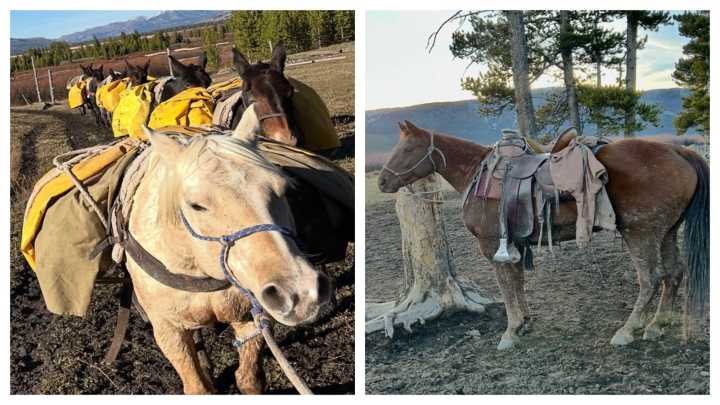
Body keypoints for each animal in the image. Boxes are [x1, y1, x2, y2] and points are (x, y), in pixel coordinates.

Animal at [126, 121, 333, 394]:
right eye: (196, 205)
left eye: (283, 189)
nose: (300, 294)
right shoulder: (168, 330)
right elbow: (197, 388)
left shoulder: (250, 316)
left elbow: (249, 379)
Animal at [377, 121, 709, 350]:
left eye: (407, 149)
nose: (381, 181)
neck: (477, 174)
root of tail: (679, 150)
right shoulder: (513, 245)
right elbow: (517, 283)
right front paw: (524, 323)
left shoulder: (491, 246)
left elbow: (507, 287)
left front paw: (510, 332)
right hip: (666, 231)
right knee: (674, 273)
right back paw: (657, 324)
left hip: (640, 233)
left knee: (651, 279)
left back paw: (628, 330)